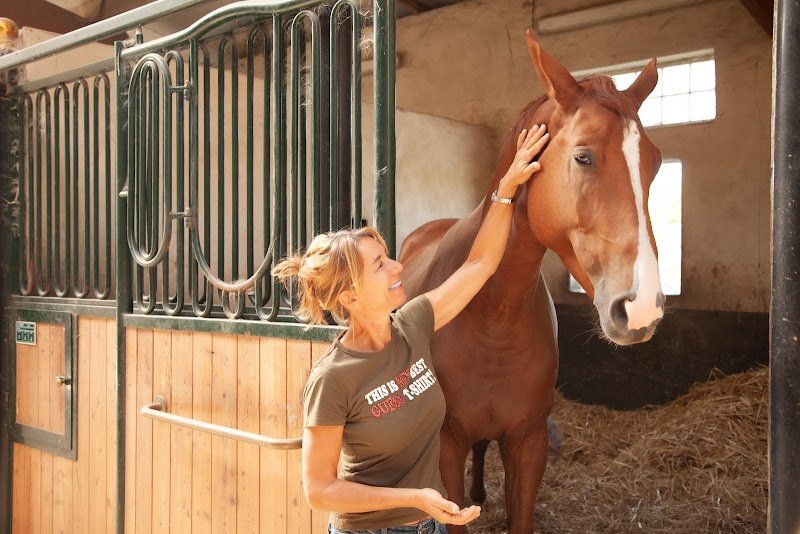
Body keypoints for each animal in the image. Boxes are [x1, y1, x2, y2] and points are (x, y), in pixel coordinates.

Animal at [398, 30, 665, 533]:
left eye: (654, 164)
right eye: (583, 156)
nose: (641, 307)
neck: (493, 313)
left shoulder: (529, 444)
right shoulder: (446, 446)